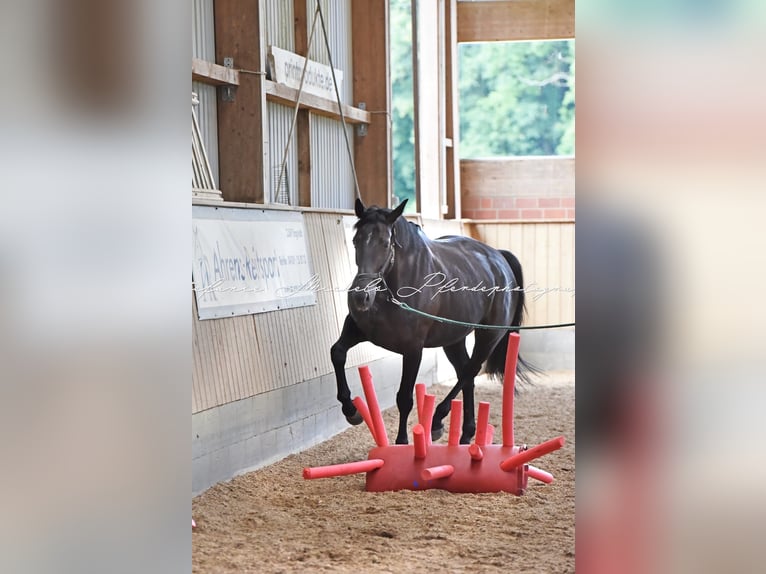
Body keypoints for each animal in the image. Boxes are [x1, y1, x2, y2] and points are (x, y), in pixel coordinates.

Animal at [330, 198, 535, 445]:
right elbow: (337, 353)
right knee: (466, 374)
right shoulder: (356, 330)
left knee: (470, 371)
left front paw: (402, 442)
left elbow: (404, 397)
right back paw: (466, 433)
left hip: (488, 336)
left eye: (385, 243)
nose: (360, 297)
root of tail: (498, 258)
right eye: (356, 240)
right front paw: (351, 410)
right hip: (453, 339)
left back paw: (438, 420)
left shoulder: (413, 349)